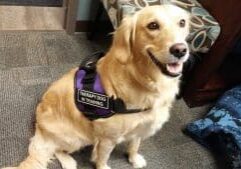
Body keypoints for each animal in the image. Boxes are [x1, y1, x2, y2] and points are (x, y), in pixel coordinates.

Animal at [2, 4, 189, 169]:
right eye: (153, 25)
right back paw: (69, 162)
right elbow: (102, 157)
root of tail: (38, 128)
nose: (180, 50)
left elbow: (134, 145)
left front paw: (134, 159)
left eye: (182, 22)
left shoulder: (142, 126)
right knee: (55, 149)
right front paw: (104, 166)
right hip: (76, 137)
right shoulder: (107, 138)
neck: (142, 78)